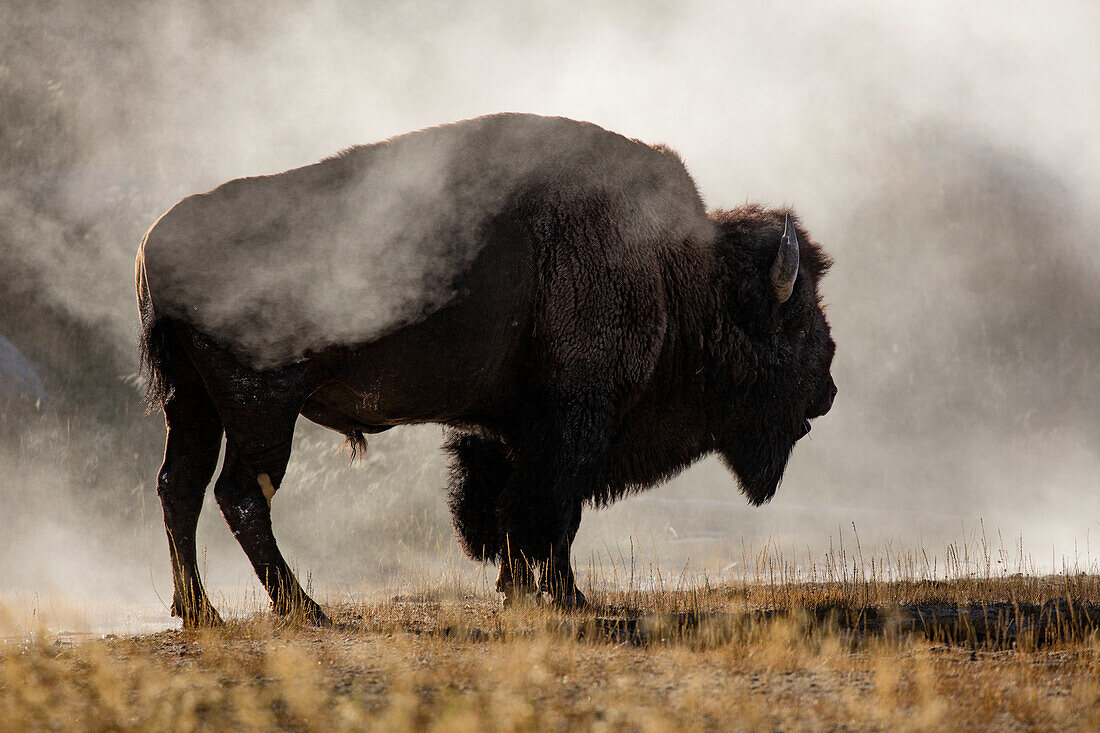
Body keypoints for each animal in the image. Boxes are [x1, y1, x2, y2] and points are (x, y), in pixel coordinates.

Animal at [139, 112, 831, 620]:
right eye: (795, 324)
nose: (825, 392)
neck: (673, 269)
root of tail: (155, 242)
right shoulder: (573, 423)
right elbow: (552, 512)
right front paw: (568, 598)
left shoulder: (511, 430)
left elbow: (509, 509)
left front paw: (519, 589)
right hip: (261, 407)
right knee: (239, 494)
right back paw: (305, 610)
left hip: (192, 403)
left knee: (180, 487)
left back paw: (201, 613)